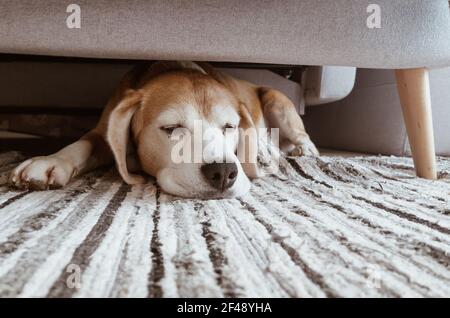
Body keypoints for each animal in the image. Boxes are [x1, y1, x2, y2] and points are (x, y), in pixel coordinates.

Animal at [7, 60, 316, 198]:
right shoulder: (102, 133)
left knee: (299, 136)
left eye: (230, 127)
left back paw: (296, 151)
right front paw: (50, 160)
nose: (223, 172)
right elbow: (81, 144)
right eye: (171, 128)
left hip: (278, 100)